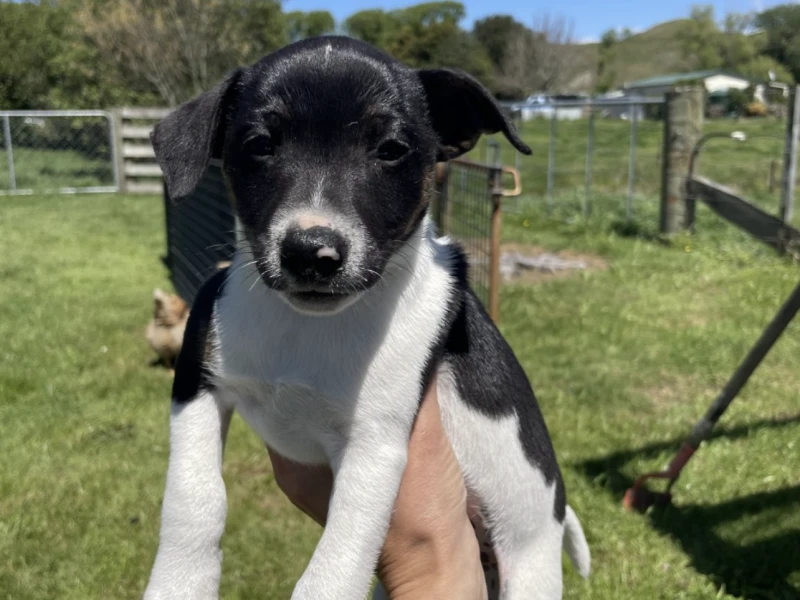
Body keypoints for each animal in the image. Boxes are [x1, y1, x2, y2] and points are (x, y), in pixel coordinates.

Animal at [144, 37, 588, 600]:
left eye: (391, 149)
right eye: (260, 144)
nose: (310, 252)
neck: (308, 330)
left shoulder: (376, 447)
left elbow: (335, 567)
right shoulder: (196, 385)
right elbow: (195, 498)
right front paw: (179, 582)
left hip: (530, 566)